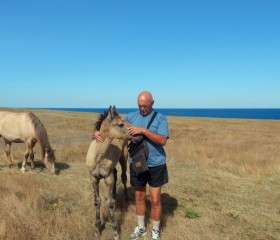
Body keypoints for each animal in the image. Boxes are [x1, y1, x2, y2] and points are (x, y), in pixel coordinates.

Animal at [84, 106, 139, 240]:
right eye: (121, 124)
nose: (139, 136)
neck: (98, 157)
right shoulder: (93, 178)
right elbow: (97, 201)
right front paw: (97, 229)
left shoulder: (107, 178)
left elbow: (110, 204)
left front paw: (115, 231)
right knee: (116, 173)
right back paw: (114, 194)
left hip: (123, 159)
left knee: (123, 177)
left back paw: (125, 198)